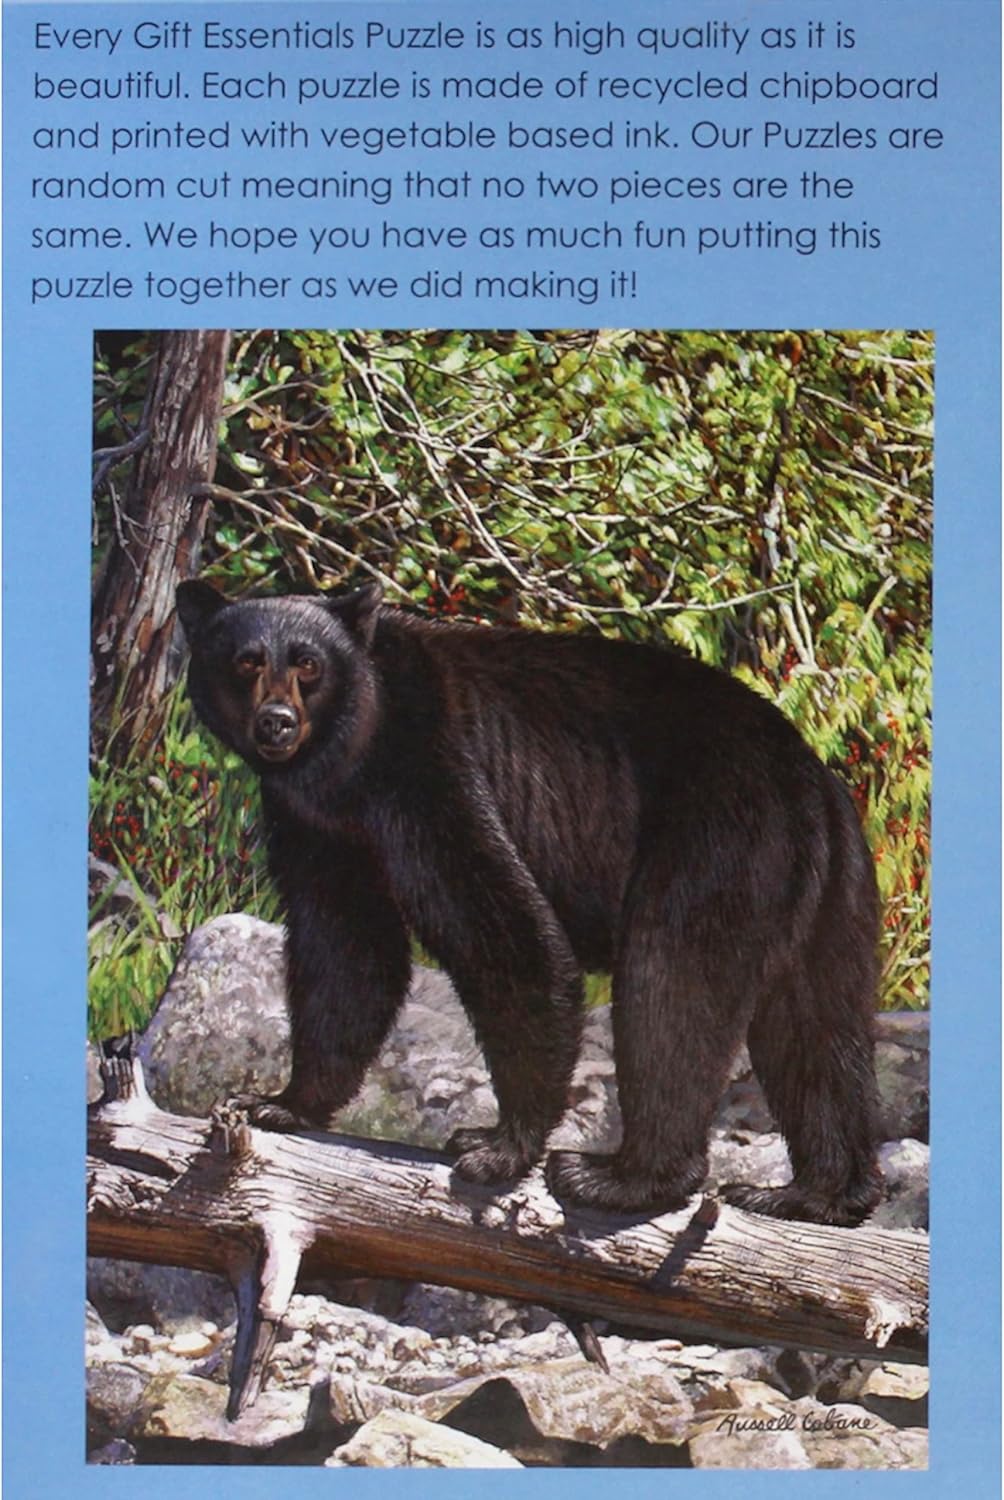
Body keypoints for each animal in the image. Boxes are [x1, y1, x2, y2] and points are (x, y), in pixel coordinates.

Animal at [176, 578, 883, 1226]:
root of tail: (808, 777)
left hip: (717, 842)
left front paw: (499, 1146)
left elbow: (506, 932)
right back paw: (815, 1193)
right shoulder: (318, 824)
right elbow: (344, 947)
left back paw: (619, 1177)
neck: (350, 756)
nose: (277, 723)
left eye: (308, 663)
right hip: (829, 892)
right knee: (817, 1028)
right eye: (245, 661)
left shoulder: (430, 769)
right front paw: (280, 1101)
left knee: (672, 989)